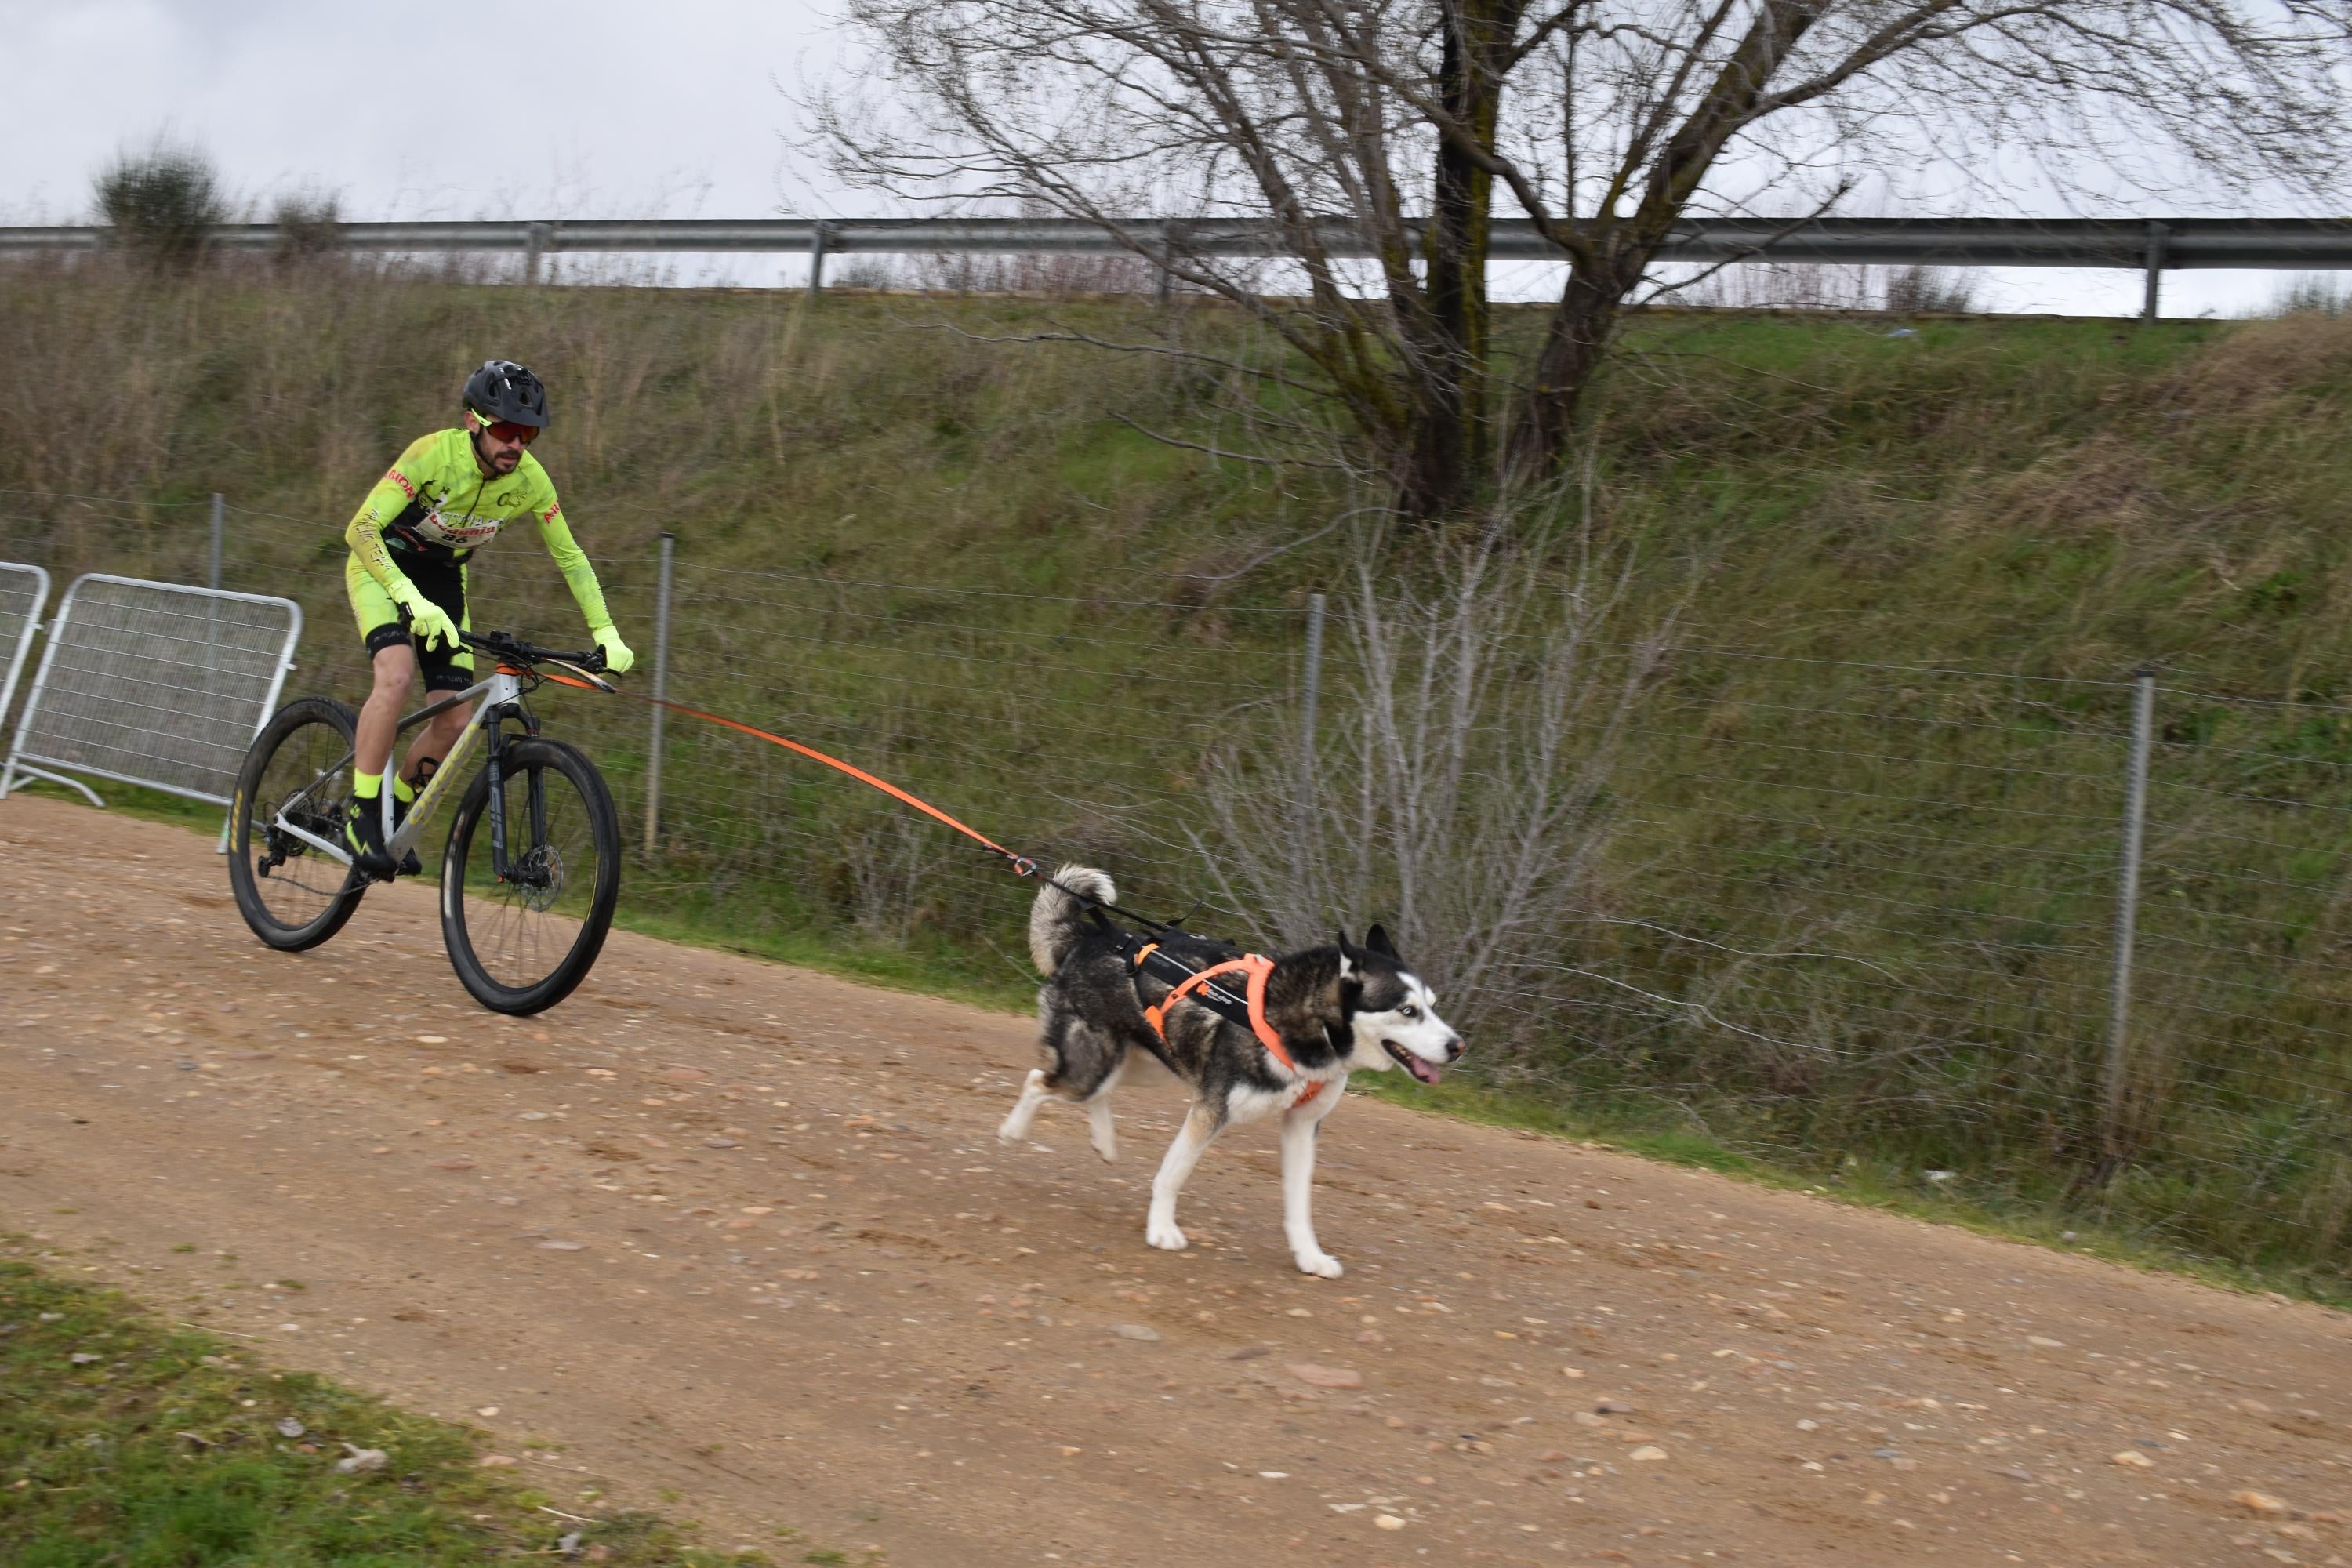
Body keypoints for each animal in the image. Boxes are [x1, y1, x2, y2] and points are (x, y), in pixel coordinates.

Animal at [997, 865, 1468, 1279]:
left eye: (1432, 1005)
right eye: (1407, 1010)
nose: (1457, 1046)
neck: (1303, 1029)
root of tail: (1092, 937)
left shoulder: (1301, 1126)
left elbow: (1300, 1204)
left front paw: (1310, 1257)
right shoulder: (1211, 1110)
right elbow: (1172, 1174)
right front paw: (1162, 1229)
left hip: (1145, 1064)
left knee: (1094, 1092)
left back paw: (1105, 1141)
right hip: (1093, 1066)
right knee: (1039, 1080)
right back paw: (1014, 1131)